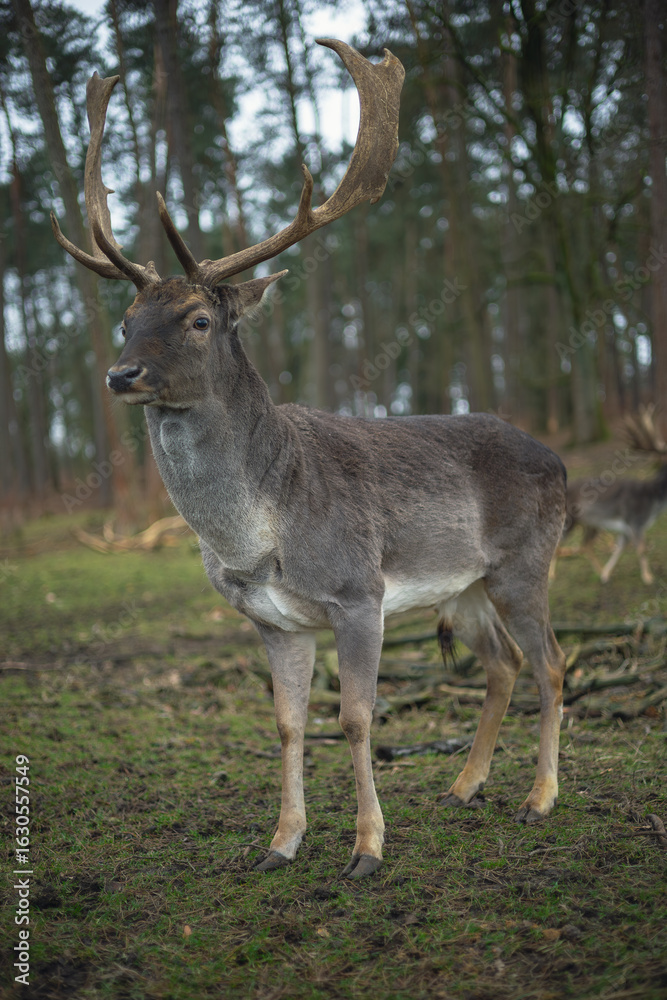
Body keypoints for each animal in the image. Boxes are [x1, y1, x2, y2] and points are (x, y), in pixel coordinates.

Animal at [52, 39, 567, 880]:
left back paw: (539, 798)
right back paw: (463, 787)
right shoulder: (272, 619)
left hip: (526, 562)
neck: (258, 533)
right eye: (127, 319)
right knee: (502, 665)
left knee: (551, 662)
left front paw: (365, 850)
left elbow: (355, 718)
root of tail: (556, 458)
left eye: (197, 319)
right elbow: (290, 726)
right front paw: (280, 843)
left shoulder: (358, 591)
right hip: (460, 584)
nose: (121, 375)